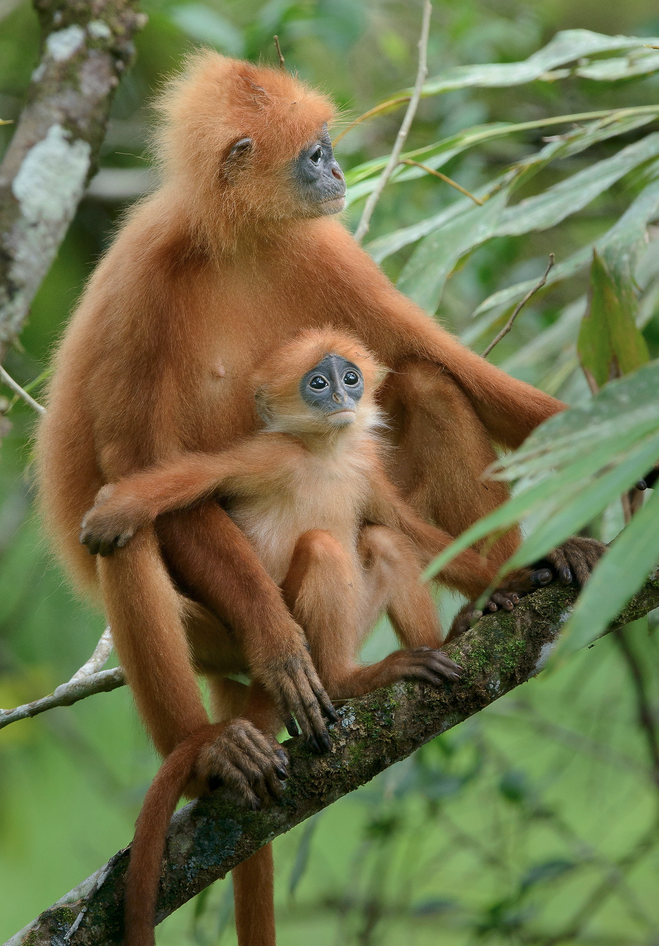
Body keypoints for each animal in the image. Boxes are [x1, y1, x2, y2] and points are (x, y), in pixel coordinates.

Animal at [80, 328, 536, 946]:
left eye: (351, 378)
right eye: (317, 383)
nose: (341, 398)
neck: (328, 456)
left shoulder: (367, 472)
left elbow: (408, 527)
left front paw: (512, 578)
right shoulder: (268, 453)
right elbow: (196, 477)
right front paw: (121, 507)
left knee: (383, 539)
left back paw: (445, 641)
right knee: (323, 547)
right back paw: (352, 678)